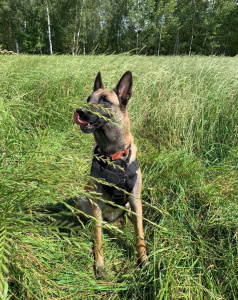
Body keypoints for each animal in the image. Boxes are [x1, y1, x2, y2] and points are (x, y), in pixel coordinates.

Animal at [73, 71, 148, 278]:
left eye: (105, 101)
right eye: (88, 99)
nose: (79, 111)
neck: (114, 157)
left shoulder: (135, 200)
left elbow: (140, 234)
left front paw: (144, 260)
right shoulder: (96, 202)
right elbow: (98, 237)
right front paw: (99, 264)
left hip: (129, 207)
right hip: (84, 200)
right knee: (91, 221)